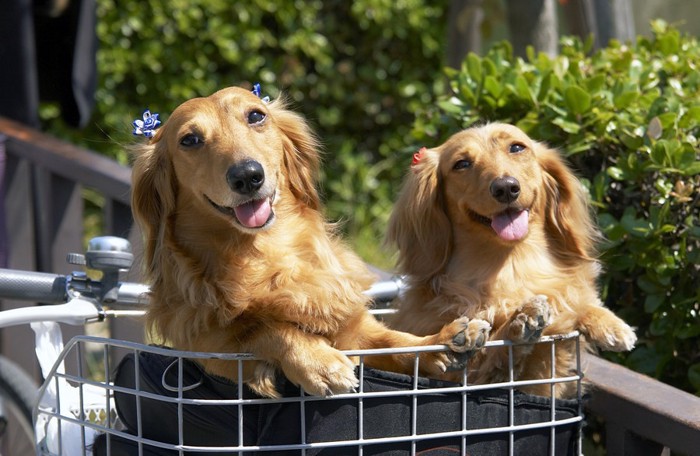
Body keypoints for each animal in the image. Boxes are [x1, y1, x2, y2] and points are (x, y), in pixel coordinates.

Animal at [130, 86, 486, 400]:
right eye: (189, 140)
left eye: (256, 115)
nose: (247, 176)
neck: (265, 254)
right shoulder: (209, 346)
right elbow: (263, 328)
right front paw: (319, 362)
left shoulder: (355, 329)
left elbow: (395, 342)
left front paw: (443, 342)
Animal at [386, 123, 636, 398]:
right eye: (461, 164)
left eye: (517, 147)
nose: (505, 187)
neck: (511, 266)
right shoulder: (461, 375)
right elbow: (493, 348)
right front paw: (519, 321)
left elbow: (569, 301)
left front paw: (609, 323)